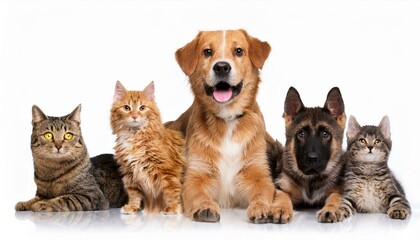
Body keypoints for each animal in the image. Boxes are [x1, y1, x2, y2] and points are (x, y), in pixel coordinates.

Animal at [110, 81, 185, 215]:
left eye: (142, 108)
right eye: (127, 108)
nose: (134, 116)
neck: (135, 136)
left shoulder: (168, 171)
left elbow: (172, 190)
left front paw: (173, 208)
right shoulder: (130, 173)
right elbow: (134, 193)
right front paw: (132, 207)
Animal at [166, 29, 280, 223]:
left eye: (239, 51)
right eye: (207, 52)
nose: (221, 67)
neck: (227, 120)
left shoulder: (258, 174)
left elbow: (261, 193)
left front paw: (260, 207)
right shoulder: (195, 176)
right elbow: (198, 194)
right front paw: (205, 206)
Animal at [272, 87, 348, 224]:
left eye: (325, 134)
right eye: (301, 134)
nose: (312, 159)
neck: (311, 180)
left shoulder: (339, 189)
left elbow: (336, 196)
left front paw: (331, 209)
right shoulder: (282, 186)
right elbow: (281, 195)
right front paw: (281, 208)